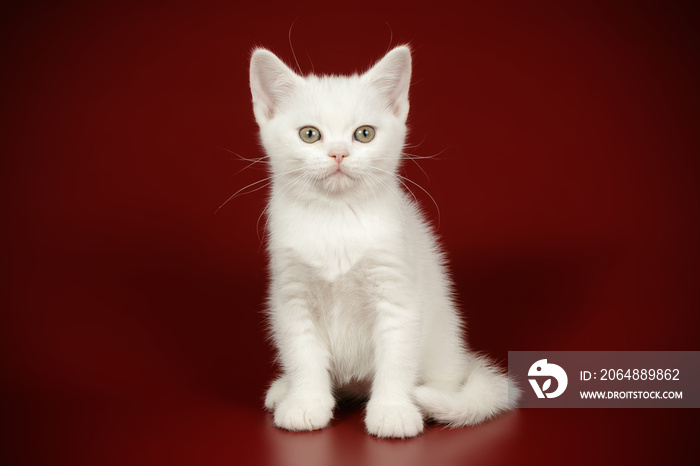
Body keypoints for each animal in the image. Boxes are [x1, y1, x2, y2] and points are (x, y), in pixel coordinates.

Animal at [249, 45, 516, 438]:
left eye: (364, 134)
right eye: (310, 134)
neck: (336, 218)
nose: (339, 153)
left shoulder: (398, 293)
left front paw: (392, 411)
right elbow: (303, 353)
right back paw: (286, 389)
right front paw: (306, 402)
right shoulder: (292, 296)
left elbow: (396, 357)